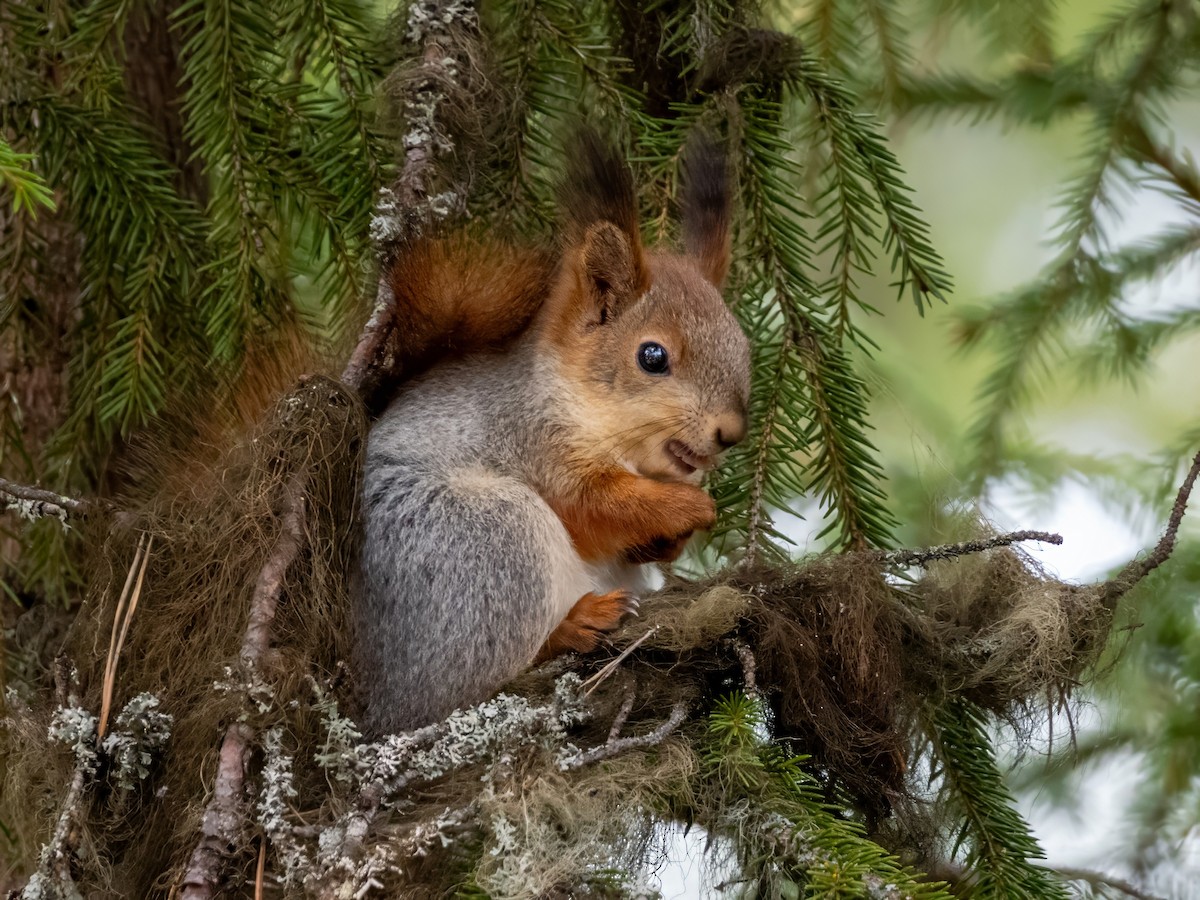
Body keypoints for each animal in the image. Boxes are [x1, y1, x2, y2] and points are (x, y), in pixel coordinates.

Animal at [354, 131, 751, 734]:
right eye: (652, 356)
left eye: (744, 346)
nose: (731, 431)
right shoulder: (530, 437)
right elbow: (591, 505)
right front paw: (692, 508)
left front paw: (673, 534)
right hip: (484, 539)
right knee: (476, 683)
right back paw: (580, 622)